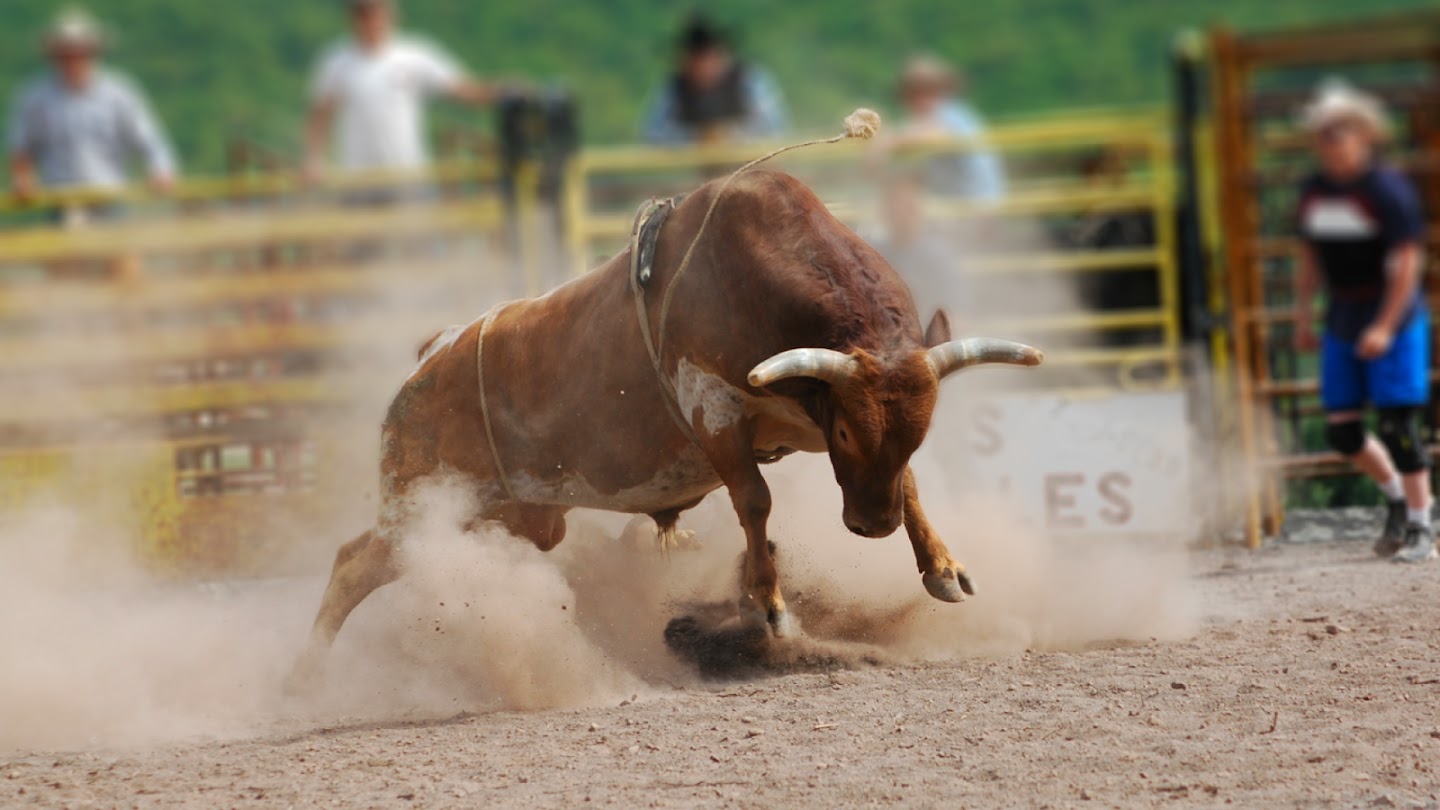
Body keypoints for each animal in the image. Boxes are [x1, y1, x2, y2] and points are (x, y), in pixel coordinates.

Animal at [286, 170, 1042, 686]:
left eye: (920, 429)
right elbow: (755, 501)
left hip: (501, 516)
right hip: (424, 503)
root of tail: (431, 354)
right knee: (352, 563)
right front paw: (769, 607)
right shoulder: (717, 416)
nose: (871, 525)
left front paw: (943, 567)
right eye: (850, 435)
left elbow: (909, 484)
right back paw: (307, 675)